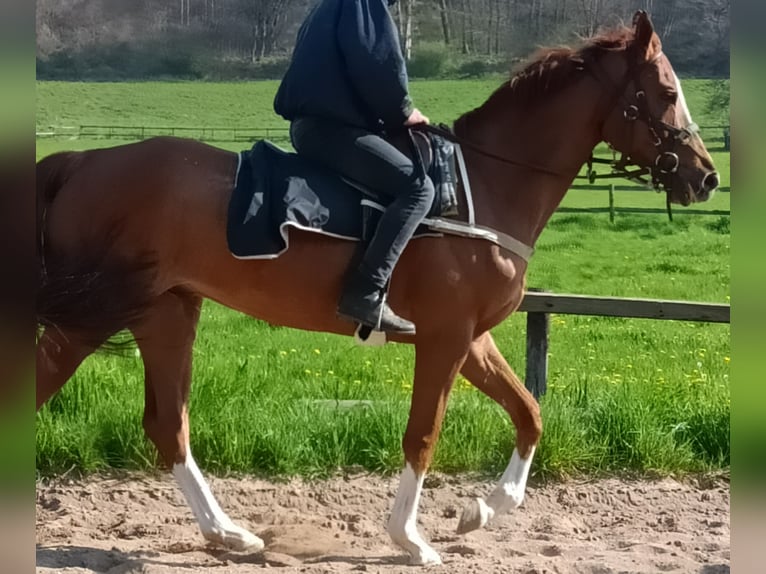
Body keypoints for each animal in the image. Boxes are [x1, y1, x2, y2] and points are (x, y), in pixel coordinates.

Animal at [36, 12, 718, 565]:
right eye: (666, 93)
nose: (706, 176)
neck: (484, 185)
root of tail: (81, 162)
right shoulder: (445, 339)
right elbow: (424, 434)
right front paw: (410, 539)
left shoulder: (472, 340)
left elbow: (530, 413)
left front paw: (482, 510)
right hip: (87, 320)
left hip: (166, 314)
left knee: (167, 425)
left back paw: (229, 534)